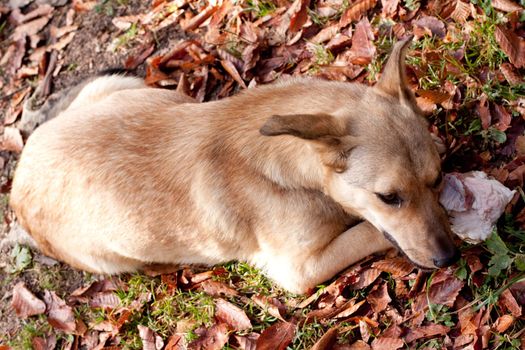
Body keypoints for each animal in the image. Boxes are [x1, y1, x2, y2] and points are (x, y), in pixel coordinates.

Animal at [9, 37, 458, 292]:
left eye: (437, 179)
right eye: (389, 197)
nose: (450, 258)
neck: (292, 171)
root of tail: (22, 168)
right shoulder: (298, 271)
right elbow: (369, 231)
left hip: (134, 88)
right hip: (112, 258)